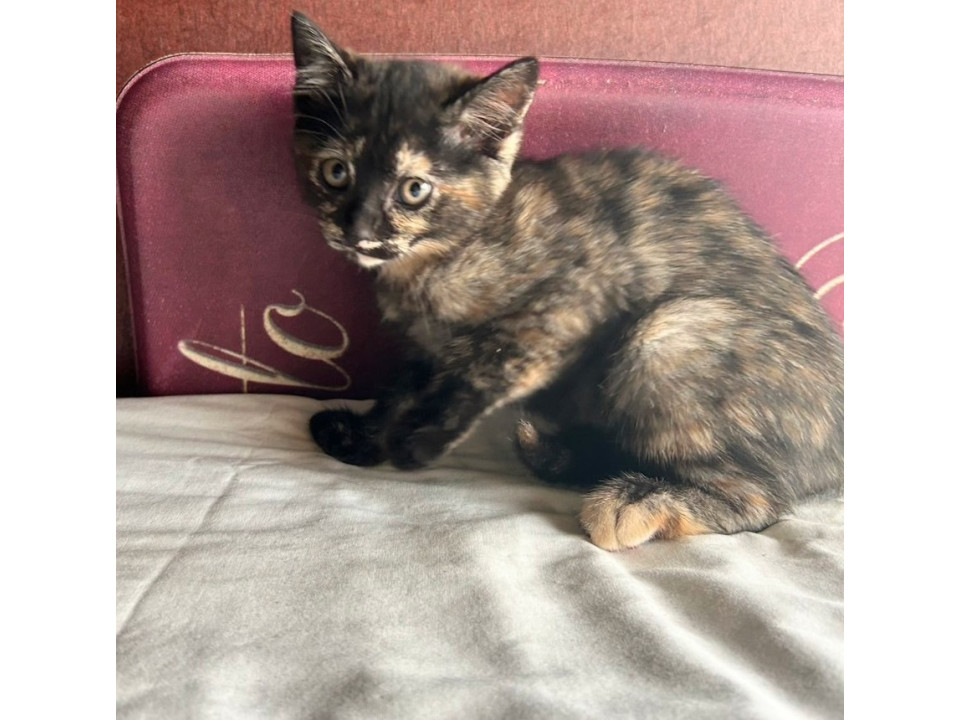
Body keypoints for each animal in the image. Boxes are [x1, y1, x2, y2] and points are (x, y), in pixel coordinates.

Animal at [289, 12, 844, 551]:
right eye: (336, 172)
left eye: (414, 189)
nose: (356, 229)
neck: (434, 259)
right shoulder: (423, 346)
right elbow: (402, 385)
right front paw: (366, 436)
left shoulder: (579, 294)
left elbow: (488, 359)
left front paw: (419, 438)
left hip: (669, 331)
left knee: (759, 497)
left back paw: (637, 500)